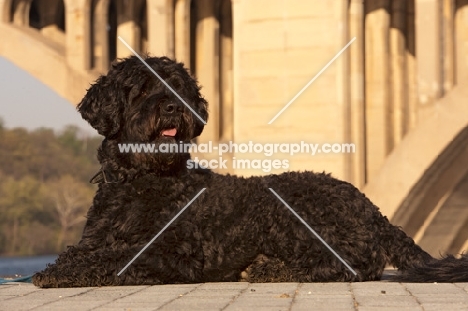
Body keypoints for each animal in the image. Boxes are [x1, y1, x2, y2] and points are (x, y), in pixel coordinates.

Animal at [33, 55, 468, 288]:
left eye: (178, 86)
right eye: (141, 88)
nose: (173, 105)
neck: (139, 182)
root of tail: (373, 209)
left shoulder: (172, 252)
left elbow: (113, 258)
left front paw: (66, 273)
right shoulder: (95, 239)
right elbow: (80, 252)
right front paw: (56, 268)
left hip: (293, 212)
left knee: (355, 264)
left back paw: (266, 267)